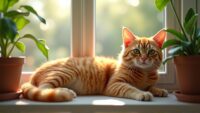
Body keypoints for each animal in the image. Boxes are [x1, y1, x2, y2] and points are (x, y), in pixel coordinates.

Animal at [21, 27, 168, 101]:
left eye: (151, 52)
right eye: (136, 51)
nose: (143, 58)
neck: (144, 73)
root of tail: (34, 74)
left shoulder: (148, 83)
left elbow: (151, 87)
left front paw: (159, 90)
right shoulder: (114, 84)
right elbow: (131, 88)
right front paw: (143, 93)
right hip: (64, 72)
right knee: (43, 88)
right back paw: (65, 92)